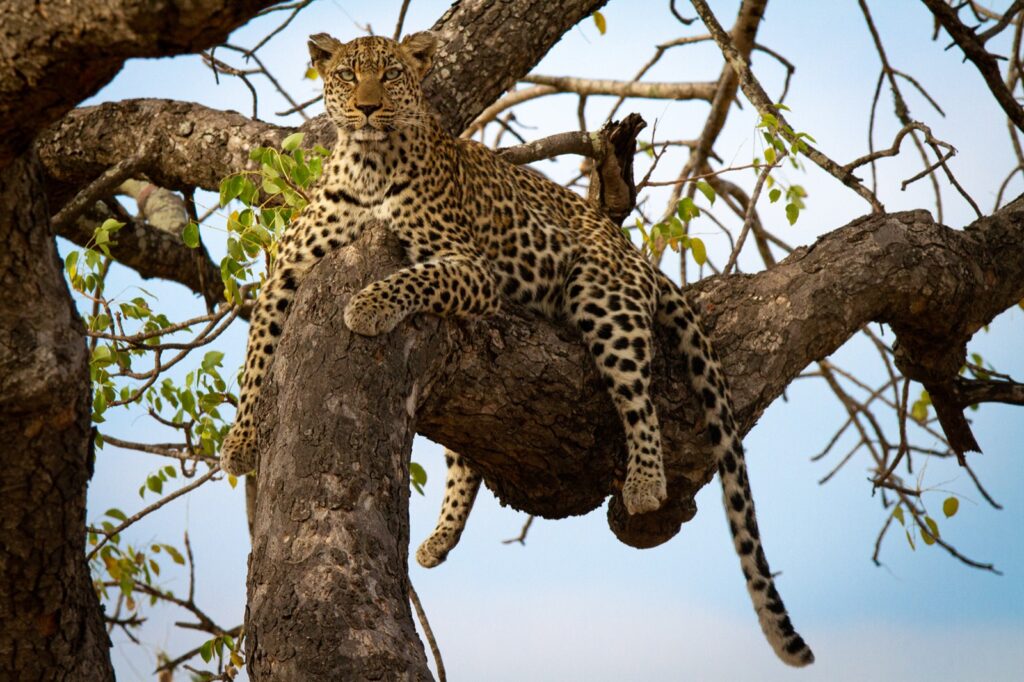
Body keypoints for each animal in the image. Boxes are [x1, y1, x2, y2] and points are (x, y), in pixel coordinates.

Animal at [219, 31, 814, 667]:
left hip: (601, 296)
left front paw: (368, 305)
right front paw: (242, 441)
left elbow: (414, 277)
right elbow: (257, 352)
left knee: (639, 395)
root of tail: (631, 249)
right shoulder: (287, 270)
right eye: (349, 76)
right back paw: (438, 540)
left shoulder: (471, 268)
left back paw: (646, 482)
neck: (369, 164)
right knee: (468, 454)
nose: (369, 108)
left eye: (392, 74)